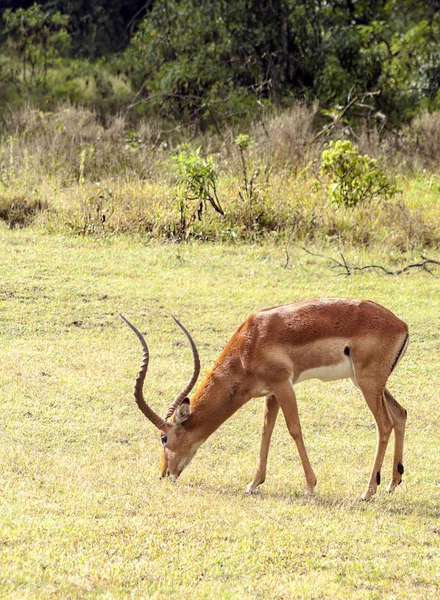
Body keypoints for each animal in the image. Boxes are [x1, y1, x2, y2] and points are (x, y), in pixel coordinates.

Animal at [120, 298, 410, 500]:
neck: (249, 344)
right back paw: (393, 483)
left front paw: (310, 487)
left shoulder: (284, 385)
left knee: (384, 425)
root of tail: (402, 325)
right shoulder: (271, 393)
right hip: (368, 383)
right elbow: (266, 431)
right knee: (400, 414)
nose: (164, 474)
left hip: (367, 384)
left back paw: (368, 492)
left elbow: (294, 429)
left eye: (164, 438)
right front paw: (253, 484)